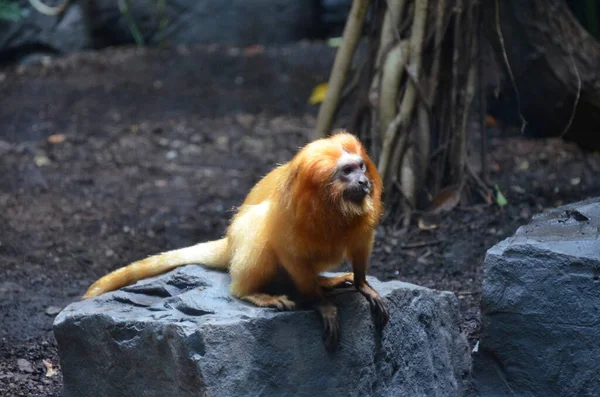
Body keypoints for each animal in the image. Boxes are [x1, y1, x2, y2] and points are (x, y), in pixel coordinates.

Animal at [84, 130, 390, 350]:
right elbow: (286, 249)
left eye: (361, 167)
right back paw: (253, 292)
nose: (363, 182)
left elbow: (361, 244)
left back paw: (325, 281)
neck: (333, 205)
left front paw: (362, 285)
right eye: (347, 172)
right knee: (257, 227)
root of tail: (229, 243)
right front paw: (322, 304)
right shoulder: (290, 217)